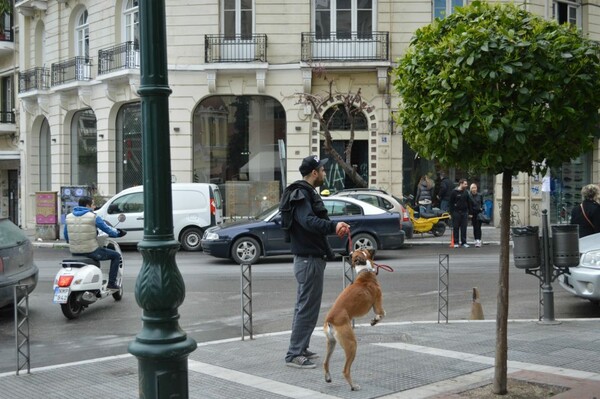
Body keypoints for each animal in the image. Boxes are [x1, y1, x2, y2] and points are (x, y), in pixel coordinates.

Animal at [324, 248, 384, 392]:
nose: (349, 251)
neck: (364, 272)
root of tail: (330, 319)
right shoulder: (377, 304)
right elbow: (382, 314)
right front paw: (374, 321)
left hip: (331, 343)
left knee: (325, 362)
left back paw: (328, 377)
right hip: (351, 344)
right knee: (345, 370)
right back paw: (353, 386)